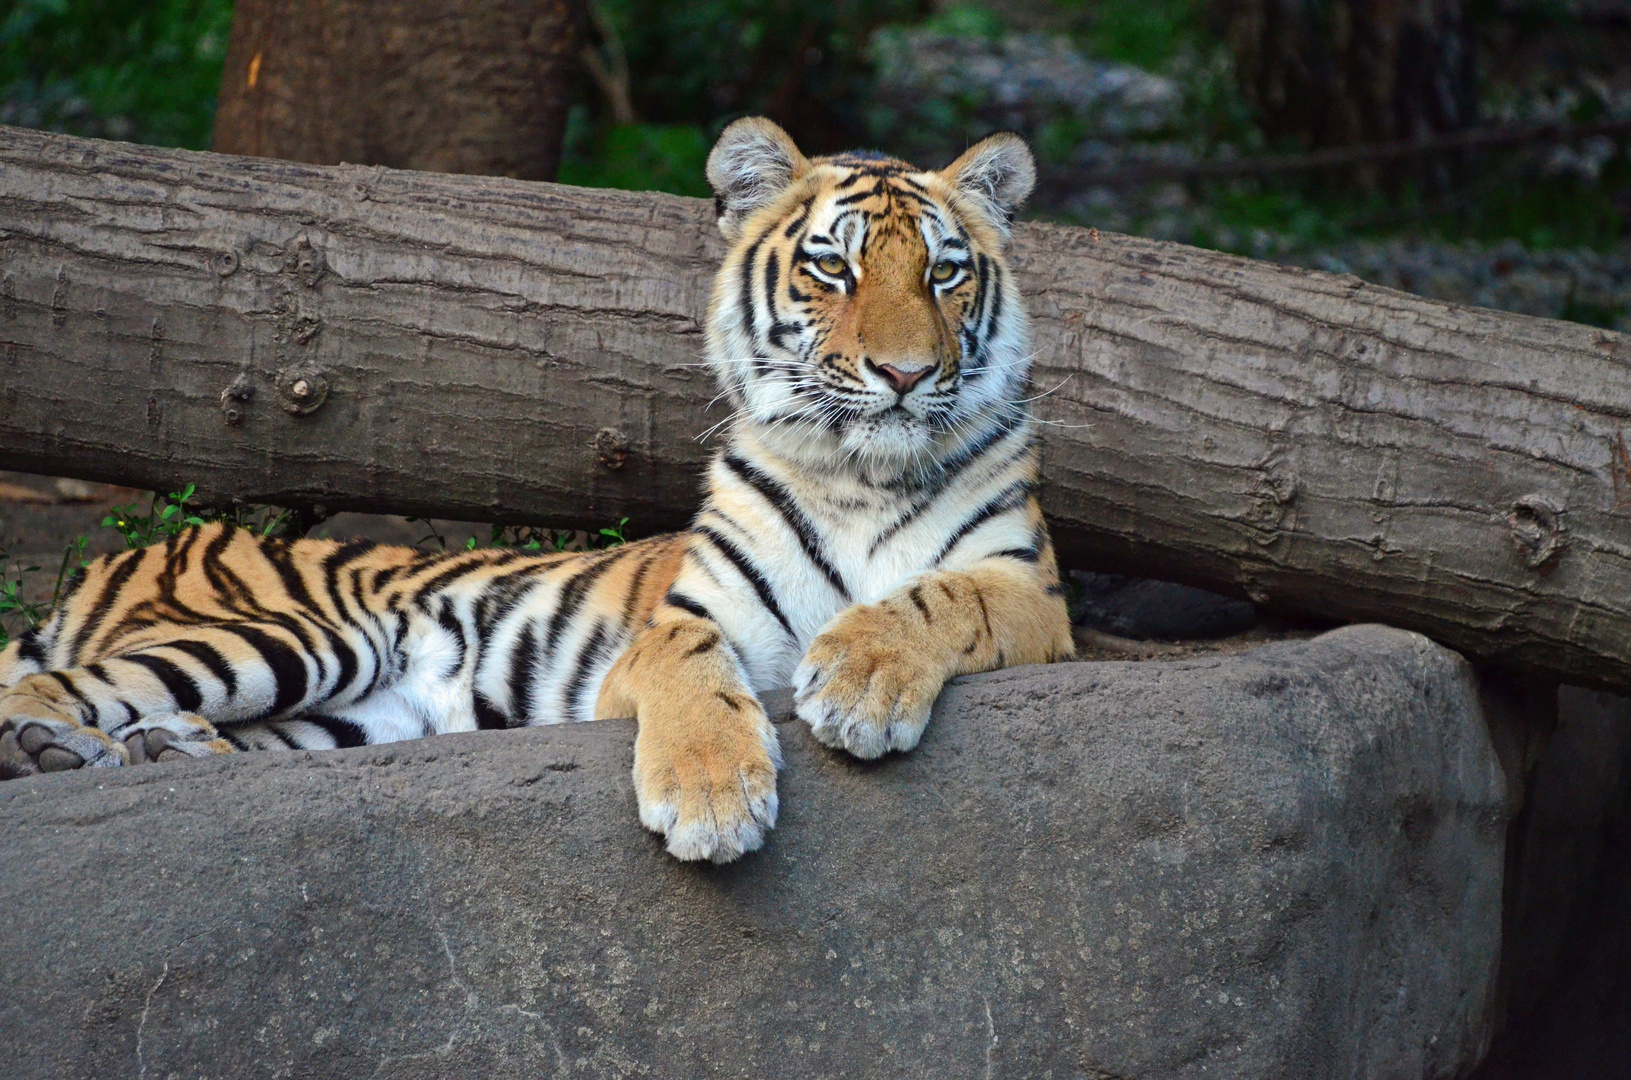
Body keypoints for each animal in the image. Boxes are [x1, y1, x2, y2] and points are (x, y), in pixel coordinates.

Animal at [3, 118, 1082, 861]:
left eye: (942, 275)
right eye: (833, 268)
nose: (903, 374)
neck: (859, 473)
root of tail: (140, 551)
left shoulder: (1034, 596)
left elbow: (942, 595)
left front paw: (860, 677)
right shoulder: (678, 626)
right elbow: (688, 662)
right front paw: (711, 799)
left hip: (350, 714)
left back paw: (162, 752)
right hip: (296, 636)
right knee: (44, 688)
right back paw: (60, 751)